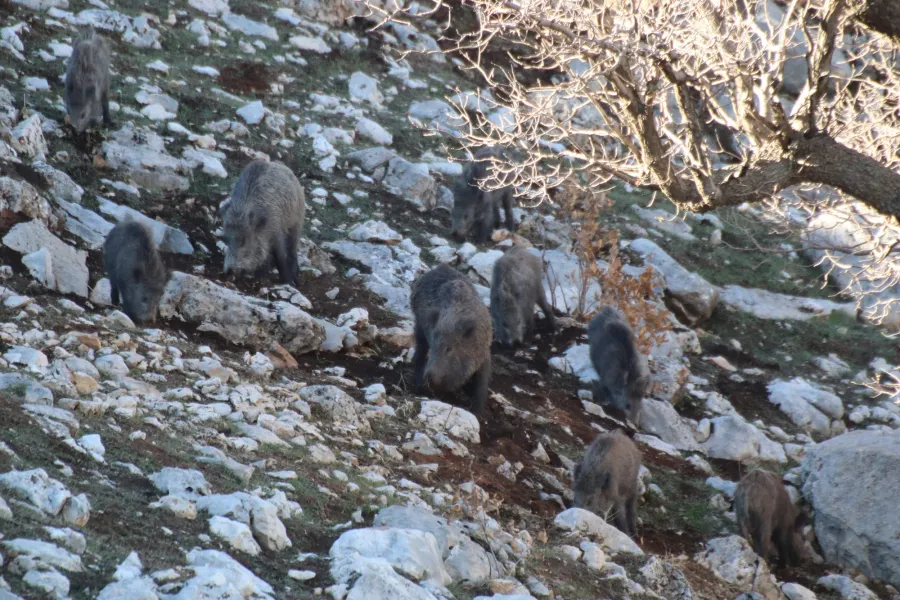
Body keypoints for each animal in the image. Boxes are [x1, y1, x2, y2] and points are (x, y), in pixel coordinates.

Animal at [411, 264, 493, 416]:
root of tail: (439, 267)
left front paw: (477, 414)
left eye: (449, 349)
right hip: (419, 325)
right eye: (434, 347)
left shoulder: (485, 357)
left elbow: (481, 389)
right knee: (419, 352)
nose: (429, 376)